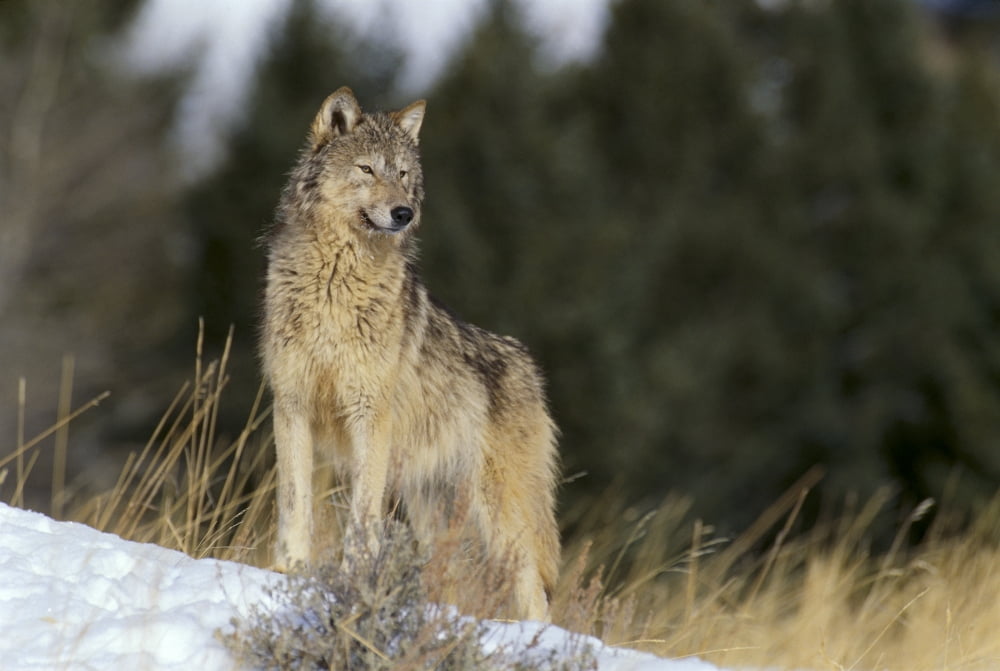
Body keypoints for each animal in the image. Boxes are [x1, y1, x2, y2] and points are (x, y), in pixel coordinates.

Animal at [260, 87, 560, 620]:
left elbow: (362, 518)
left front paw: (355, 582)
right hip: (433, 512)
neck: (335, 281)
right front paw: (288, 570)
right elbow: (294, 502)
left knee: (532, 591)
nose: (405, 213)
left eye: (402, 174)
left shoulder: (369, 416)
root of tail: (528, 366)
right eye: (366, 169)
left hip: (501, 513)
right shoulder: (291, 404)